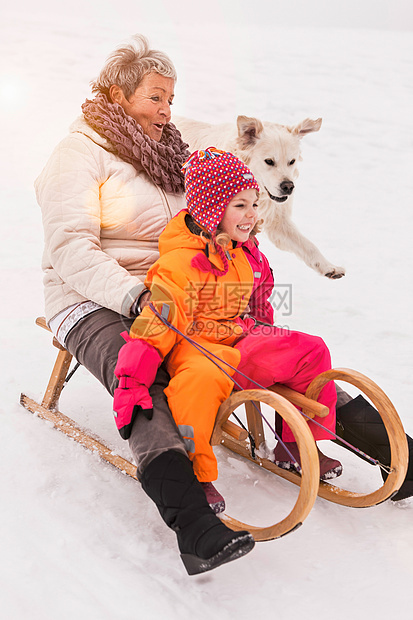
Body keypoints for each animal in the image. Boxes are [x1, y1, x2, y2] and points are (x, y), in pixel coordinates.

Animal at [174, 115, 344, 280]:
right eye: (269, 161)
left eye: (292, 161)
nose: (288, 186)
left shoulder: (277, 221)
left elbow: (308, 245)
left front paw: (329, 267)